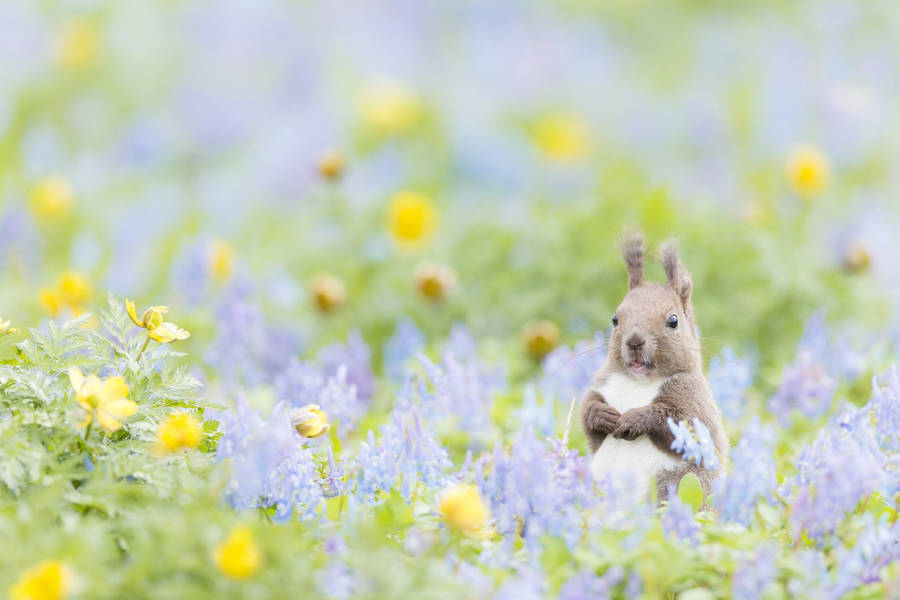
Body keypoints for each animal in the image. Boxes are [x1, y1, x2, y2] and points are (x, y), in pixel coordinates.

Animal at [581, 231, 728, 502]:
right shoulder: (603, 384)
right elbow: (586, 414)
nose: (634, 341)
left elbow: (679, 421)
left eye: (673, 321)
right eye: (615, 319)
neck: (639, 381)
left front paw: (634, 419)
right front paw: (601, 415)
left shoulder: (694, 399)